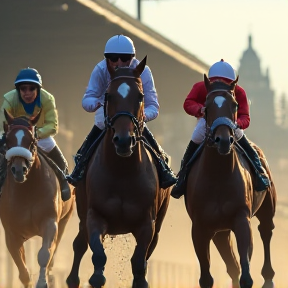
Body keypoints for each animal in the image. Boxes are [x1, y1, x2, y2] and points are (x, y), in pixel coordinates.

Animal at [0, 110, 75, 288]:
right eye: (8, 139)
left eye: (31, 141)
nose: (19, 169)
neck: (27, 190)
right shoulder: (11, 233)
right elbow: (23, 272)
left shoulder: (50, 222)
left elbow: (44, 255)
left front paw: (42, 281)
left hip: (64, 220)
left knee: (52, 255)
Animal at [184, 74, 276, 288]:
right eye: (207, 105)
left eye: (235, 105)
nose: (224, 140)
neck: (219, 175)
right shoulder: (200, 227)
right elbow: (207, 278)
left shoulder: (241, 218)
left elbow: (246, 275)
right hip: (221, 231)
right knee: (232, 266)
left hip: (267, 208)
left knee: (266, 230)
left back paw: (268, 277)